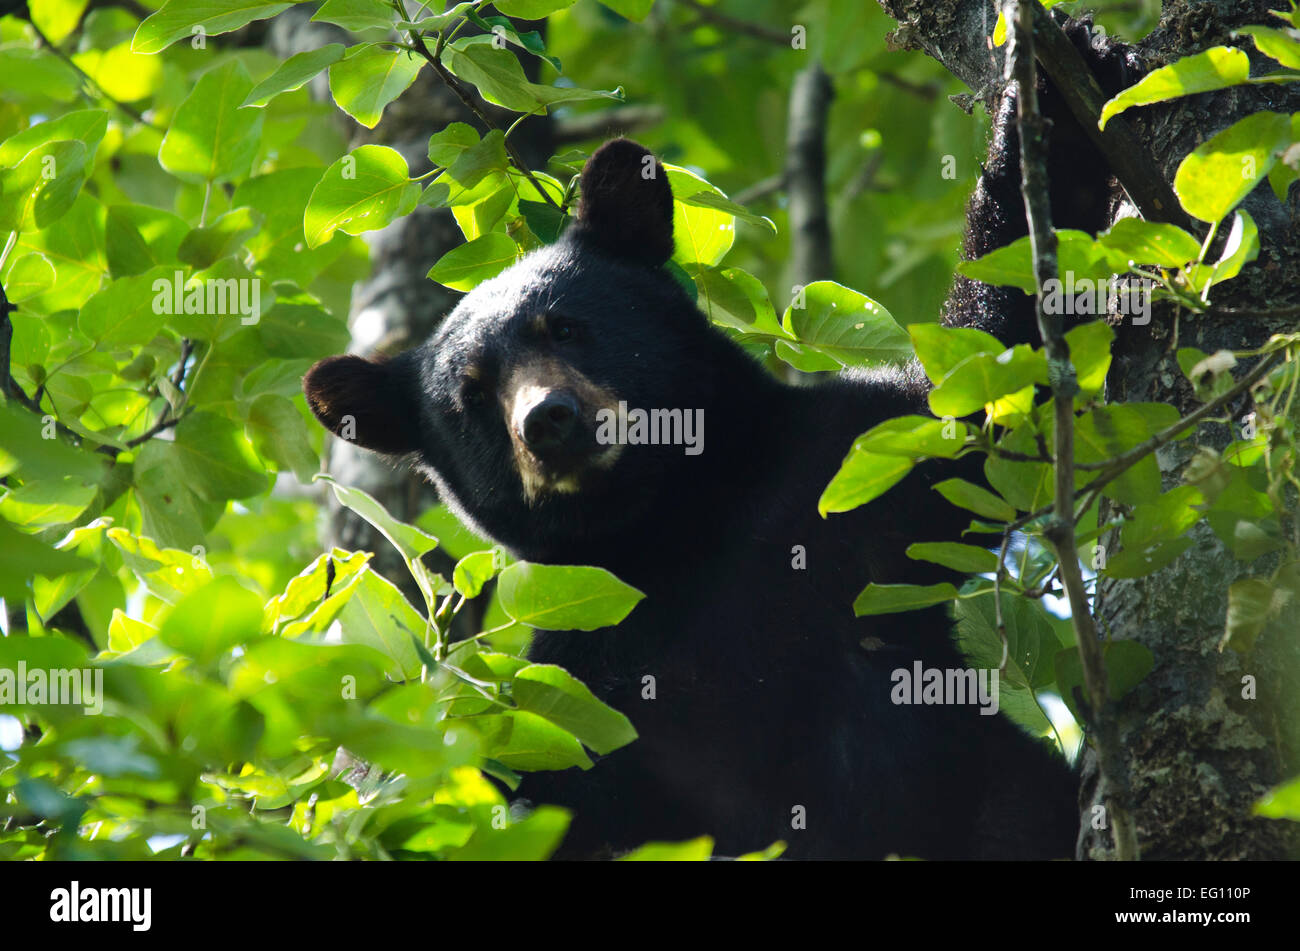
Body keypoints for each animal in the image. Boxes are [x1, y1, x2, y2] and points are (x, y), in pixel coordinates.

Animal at [304, 18, 1138, 862]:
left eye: (564, 326)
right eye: (472, 396)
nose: (547, 421)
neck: (680, 524)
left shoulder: (850, 468)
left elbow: (989, 368)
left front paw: (1058, 91)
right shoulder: (584, 684)